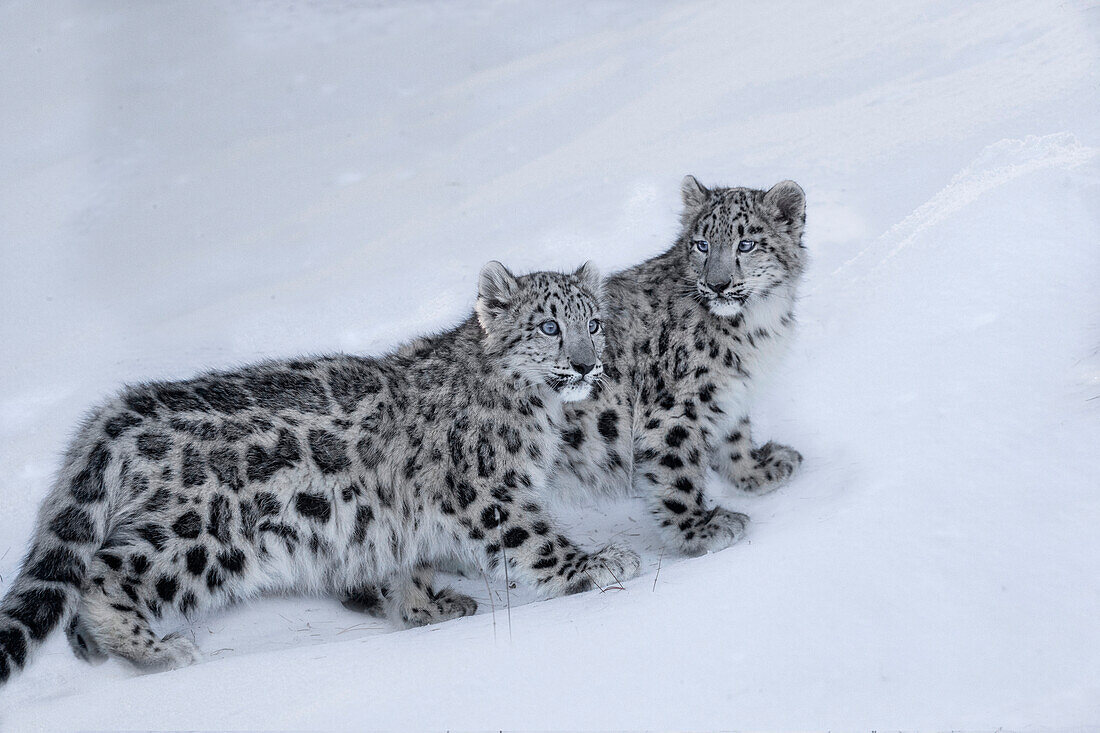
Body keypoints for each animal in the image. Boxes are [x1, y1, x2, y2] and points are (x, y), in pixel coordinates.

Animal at [0, 260, 638, 677]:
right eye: (549, 326)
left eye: (594, 323)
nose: (587, 364)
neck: (539, 412)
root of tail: (118, 412)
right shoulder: (487, 490)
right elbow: (536, 541)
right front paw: (599, 564)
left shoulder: (395, 520)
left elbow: (401, 565)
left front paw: (427, 606)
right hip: (201, 536)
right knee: (104, 573)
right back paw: (158, 650)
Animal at [550, 178, 809, 554]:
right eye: (702, 244)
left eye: (746, 244)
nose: (718, 284)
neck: (757, 327)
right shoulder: (673, 410)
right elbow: (677, 471)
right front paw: (699, 531)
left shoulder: (729, 391)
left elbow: (735, 435)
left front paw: (758, 470)